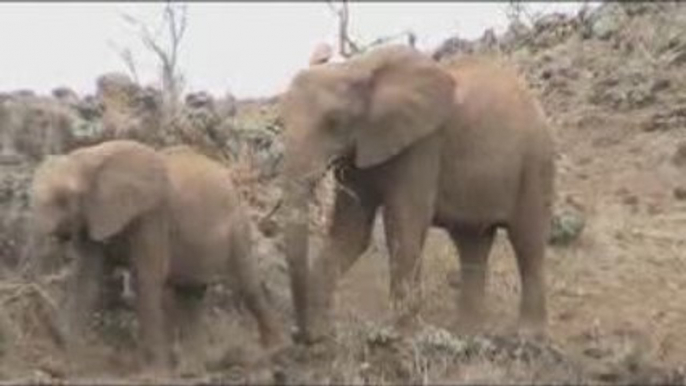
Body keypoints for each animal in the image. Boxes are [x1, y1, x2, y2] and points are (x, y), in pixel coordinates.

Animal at [31, 139, 284, 370]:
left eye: (64, 199)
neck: (89, 159)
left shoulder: (153, 216)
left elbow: (146, 279)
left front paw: (154, 374)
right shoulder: (93, 217)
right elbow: (86, 280)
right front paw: (67, 363)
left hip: (237, 228)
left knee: (247, 287)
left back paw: (274, 353)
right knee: (190, 298)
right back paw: (191, 370)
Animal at [282, 46, 556, 344]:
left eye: (333, 122)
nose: (300, 335)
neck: (355, 68)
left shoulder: (423, 144)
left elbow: (404, 223)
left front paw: (403, 334)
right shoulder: (360, 151)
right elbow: (351, 233)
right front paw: (320, 334)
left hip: (536, 162)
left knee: (527, 241)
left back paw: (528, 336)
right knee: (471, 244)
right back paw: (465, 335)